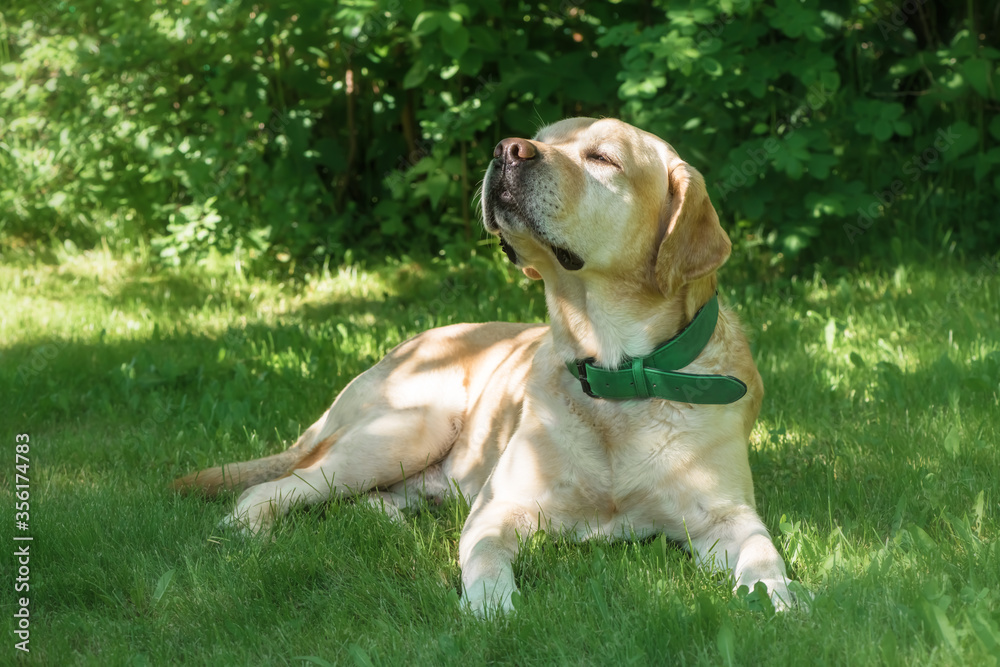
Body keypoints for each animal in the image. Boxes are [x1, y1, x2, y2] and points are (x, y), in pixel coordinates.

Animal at [172, 116, 796, 616]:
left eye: (602, 157)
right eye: (545, 137)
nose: (507, 149)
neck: (618, 372)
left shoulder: (726, 516)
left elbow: (764, 557)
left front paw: (782, 603)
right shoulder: (502, 511)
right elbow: (488, 563)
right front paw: (493, 611)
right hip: (407, 428)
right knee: (270, 489)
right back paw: (245, 538)